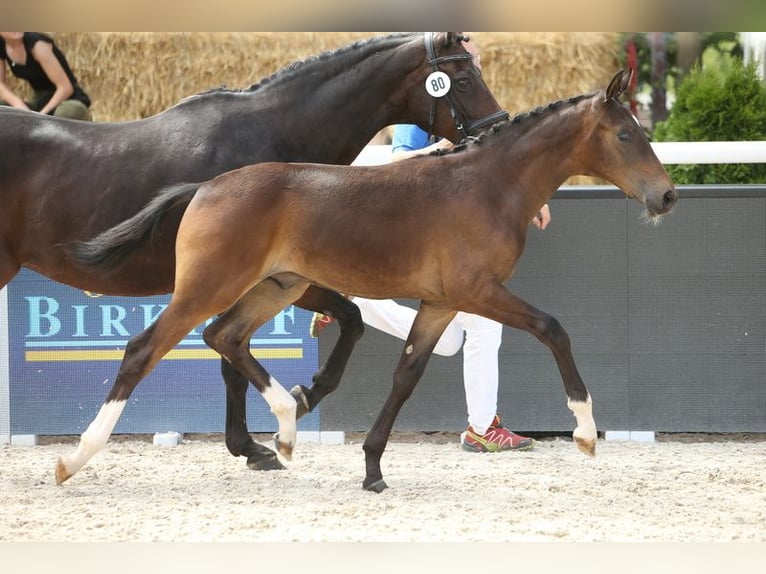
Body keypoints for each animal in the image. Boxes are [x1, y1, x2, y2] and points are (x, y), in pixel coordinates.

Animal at [1, 32, 510, 472]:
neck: (270, 133)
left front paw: (292, 408)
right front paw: (263, 437)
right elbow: (243, 356)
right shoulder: (257, 278)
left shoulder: (281, 277)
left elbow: (342, 321)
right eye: (465, 78)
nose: (498, 129)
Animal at [57, 67, 676, 490]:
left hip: (276, 286)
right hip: (208, 287)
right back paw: (74, 458)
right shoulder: (477, 291)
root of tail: (203, 188)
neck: (487, 185)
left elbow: (406, 375)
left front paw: (373, 467)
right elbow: (553, 328)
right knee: (144, 349)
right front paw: (586, 432)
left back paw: (285, 427)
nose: (667, 196)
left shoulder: (440, 303)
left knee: (224, 337)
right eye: (625, 135)